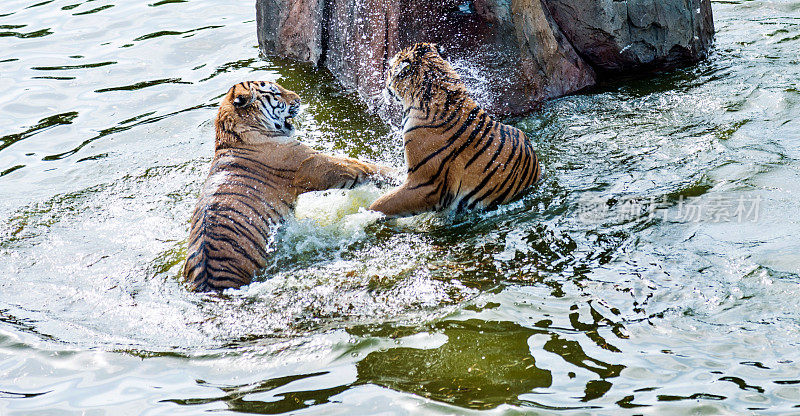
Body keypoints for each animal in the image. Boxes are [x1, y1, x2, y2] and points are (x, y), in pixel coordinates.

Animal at [182, 79, 394, 290]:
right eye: (276, 93)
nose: (299, 98)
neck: (235, 135)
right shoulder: (316, 164)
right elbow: (363, 167)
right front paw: (396, 172)